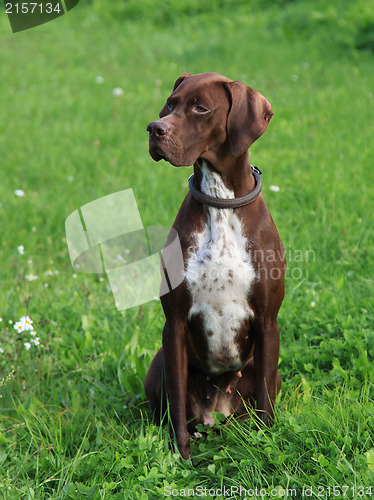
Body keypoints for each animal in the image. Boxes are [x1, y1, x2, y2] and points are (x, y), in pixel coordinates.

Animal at [145, 72, 284, 458]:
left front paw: (266, 447)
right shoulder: (174, 324)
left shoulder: (268, 322)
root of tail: (217, 413)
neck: (220, 202)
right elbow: (177, 405)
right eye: (170, 104)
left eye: (201, 108)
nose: (154, 129)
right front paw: (181, 457)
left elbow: (265, 405)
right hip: (158, 363)